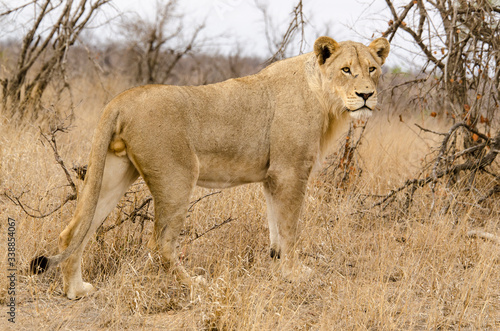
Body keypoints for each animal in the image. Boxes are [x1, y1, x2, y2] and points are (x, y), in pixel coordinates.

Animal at [30, 36, 390, 300]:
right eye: (346, 70)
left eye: (372, 69)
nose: (366, 95)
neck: (327, 101)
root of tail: (122, 99)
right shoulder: (290, 171)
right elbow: (290, 228)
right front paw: (294, 274)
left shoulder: (273, 178)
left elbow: (275, 227)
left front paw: (276, 264)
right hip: (177, 177)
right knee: (161, 245)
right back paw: (194, 285)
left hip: (114, 174)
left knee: (74, 231)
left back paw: (76, 290)